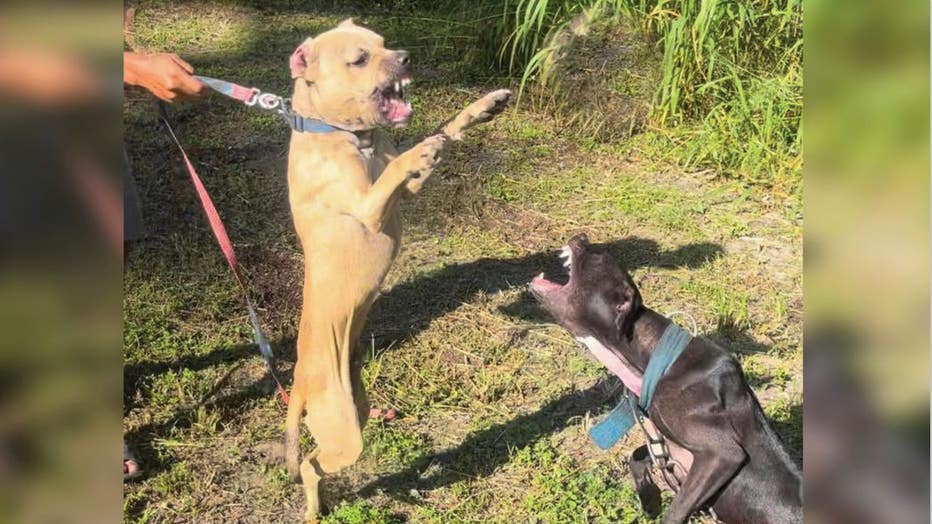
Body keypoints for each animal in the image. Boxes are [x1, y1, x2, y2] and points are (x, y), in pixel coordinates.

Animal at [280, 18, 510, 520]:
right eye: (359, 59)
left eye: (384, 43)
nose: (406, 57)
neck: (345, 135)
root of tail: (299, 384)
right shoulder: (369, 208)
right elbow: (405, 160)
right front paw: (420, 147)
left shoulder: (406, 193)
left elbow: (443, 132)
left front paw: (481, 108)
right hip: (343, 433)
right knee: (309, 464)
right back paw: (317, 507)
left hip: (359, 411)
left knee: (317, 463)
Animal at [532, 234, 800, 524]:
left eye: (598, 258)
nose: (581, 237)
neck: (657, 359)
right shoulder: (671, 451)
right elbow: (638, 455)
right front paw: (649, 499)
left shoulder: (721, 454)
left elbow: (674, 512)